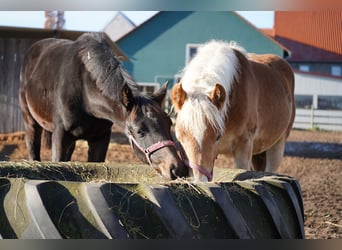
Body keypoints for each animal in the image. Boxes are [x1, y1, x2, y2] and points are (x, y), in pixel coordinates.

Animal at [18, 32, 187, 180]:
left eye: (169, 124)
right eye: (139, 131)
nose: (176, 168)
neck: (85, 94)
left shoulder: (101, 139)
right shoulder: (59, 137)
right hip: (30, 121)